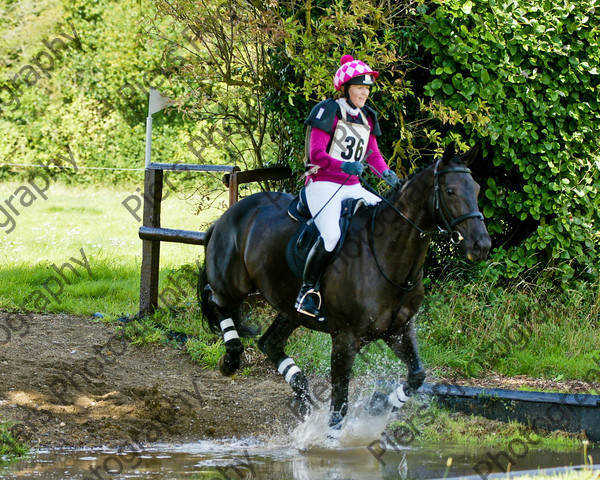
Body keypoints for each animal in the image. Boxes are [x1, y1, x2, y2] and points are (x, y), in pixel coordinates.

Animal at [199, 142, 490, 428]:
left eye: (476, 189)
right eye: (450, 191)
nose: (482, 245)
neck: (387, 256)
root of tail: (230, 214)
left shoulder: (399, 330)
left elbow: (417, 374)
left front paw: (380, 406)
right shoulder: (345, 339)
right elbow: (340, 405)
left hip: (289, 306)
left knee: (269, 343)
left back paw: (304, 399)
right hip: (234, 284)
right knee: (216, 300)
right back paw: (231, 358)